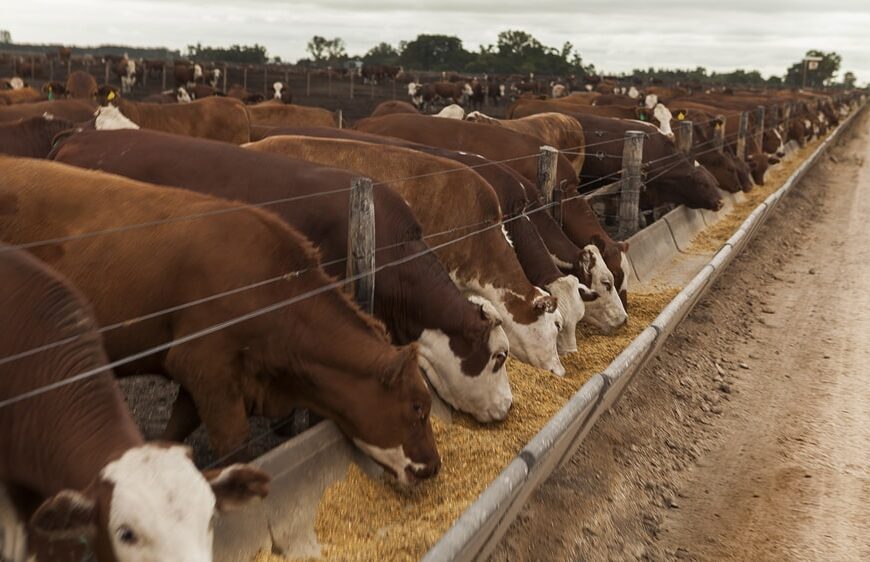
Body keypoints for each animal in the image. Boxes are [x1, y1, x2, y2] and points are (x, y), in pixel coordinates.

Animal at [1, 154, 442, 482]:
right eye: (418, 406)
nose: (432, 467)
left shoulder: (201, 375)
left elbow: (179, 424)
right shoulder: (206, 367)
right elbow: (235, 446)